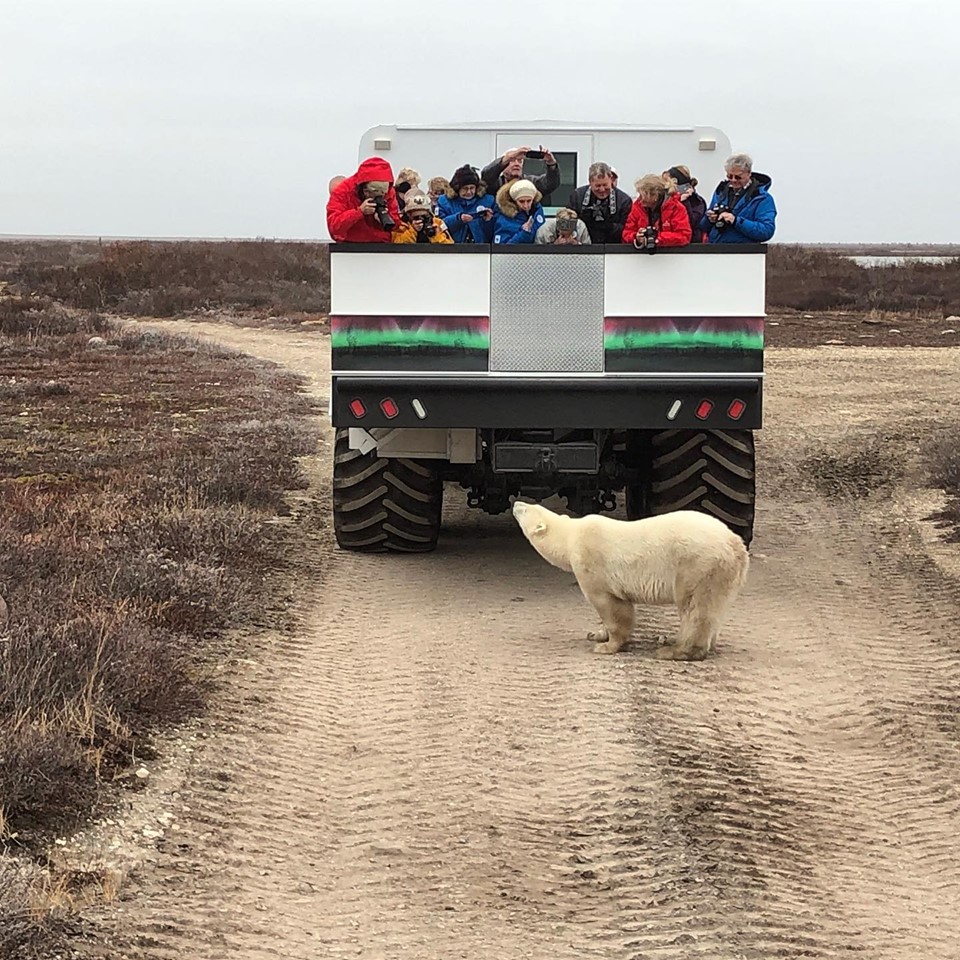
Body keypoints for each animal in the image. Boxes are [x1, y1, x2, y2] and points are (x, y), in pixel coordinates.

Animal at [510, 502, 752, 660]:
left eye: (526, 509)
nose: (516, 502)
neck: (571, 536)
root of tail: (736, 544)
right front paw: (597, 635)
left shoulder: (592, 564)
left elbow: (612, 606)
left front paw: (608, 646)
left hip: (698, 566)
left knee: (695, 609)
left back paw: (674, 651)